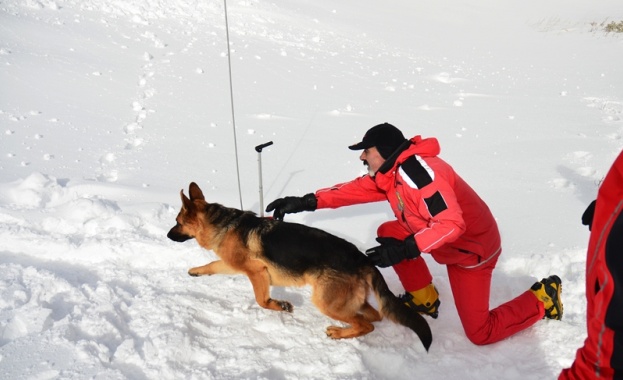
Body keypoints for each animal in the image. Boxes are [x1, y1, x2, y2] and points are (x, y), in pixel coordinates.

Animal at [168, 182, 436, 350]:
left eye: (177, 222)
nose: (168, 235)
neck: (222, 223)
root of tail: (363, 259)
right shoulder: (233, 265)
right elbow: (212, 264)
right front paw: (196, 271)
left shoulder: (256, 272)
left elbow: (261, 300)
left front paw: (281, 305)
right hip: (347, 301)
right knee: (374, 316)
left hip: (326, 302)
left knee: (367, 323)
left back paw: (338, 333)